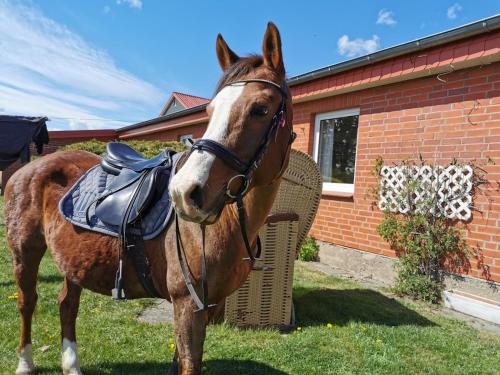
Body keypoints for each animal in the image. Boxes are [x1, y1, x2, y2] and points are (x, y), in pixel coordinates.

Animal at [4, 23, 292, 375]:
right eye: (210, 111)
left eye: (260, 109)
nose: (185, 193)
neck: (227, 225)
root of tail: (28, 168)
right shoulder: (188, 305)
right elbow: (189, 362)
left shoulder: (206, 306)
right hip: (25, 252)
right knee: (27, 302)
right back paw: (25, 363)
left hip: (74, 261)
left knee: (66, 304)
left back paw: (71, 365)